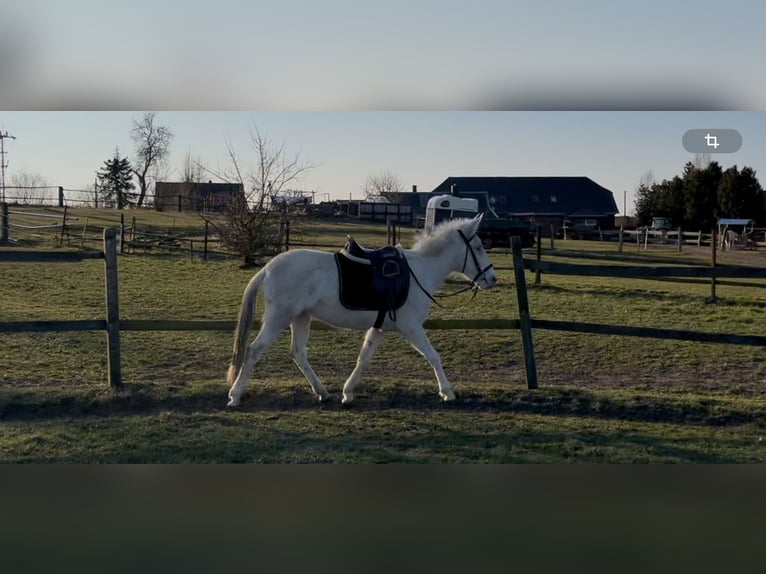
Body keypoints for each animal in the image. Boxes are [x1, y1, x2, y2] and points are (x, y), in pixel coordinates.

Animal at [226, 214, 497, 407]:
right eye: (479, 246)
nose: (492, 278)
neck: (419, 272)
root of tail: (268, 267)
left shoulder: (380, 329)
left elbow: (363, 358)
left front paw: (347, 393)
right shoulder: (411, 327)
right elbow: (433, 356)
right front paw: (447, 392)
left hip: (300, 318)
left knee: (299, 353)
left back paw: (322, 392)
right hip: (278, 318)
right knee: (254, 350)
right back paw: (235, 395)